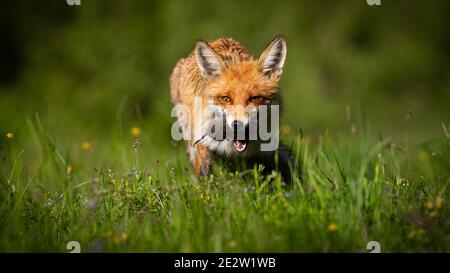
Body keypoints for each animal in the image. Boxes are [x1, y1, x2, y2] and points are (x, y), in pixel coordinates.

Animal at [171, 35, 294, 181]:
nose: (237, 125)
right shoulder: (201, 140)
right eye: (226, 98)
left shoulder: (255, 153)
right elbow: (204, 172)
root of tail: (219, 39)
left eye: (254, 98)